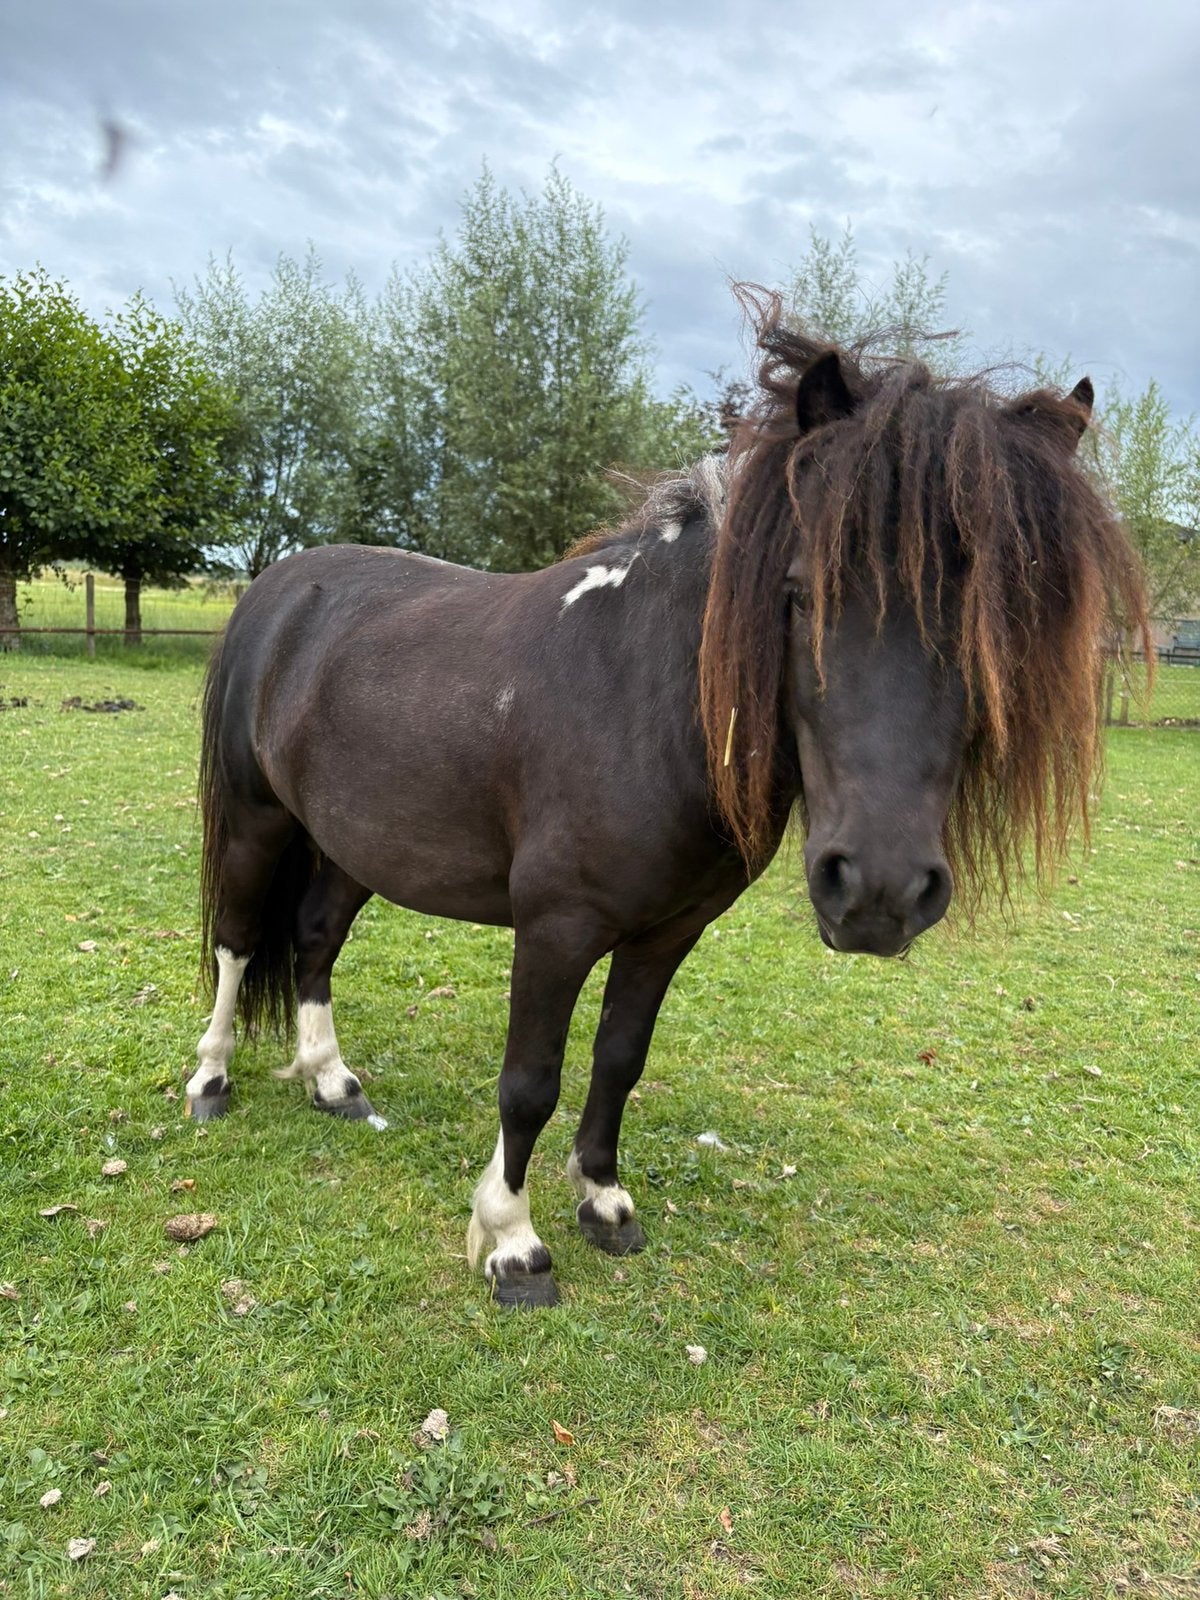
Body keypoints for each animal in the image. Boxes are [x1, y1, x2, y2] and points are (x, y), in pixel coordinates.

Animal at [192, 294, 1148, 1308]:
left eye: (1000, 623)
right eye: (798, 595)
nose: (880, 891)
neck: (640, 697)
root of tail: (281, 588)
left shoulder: (668, 930)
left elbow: (620, 1058)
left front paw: (604, 1201)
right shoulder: (557, 926)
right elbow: (528, 1080)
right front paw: (512, 1243)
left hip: (351, 842)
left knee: (314, 941)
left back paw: (331, 1083)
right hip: (258, 823)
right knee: (238, 940)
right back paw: (209, 1082)